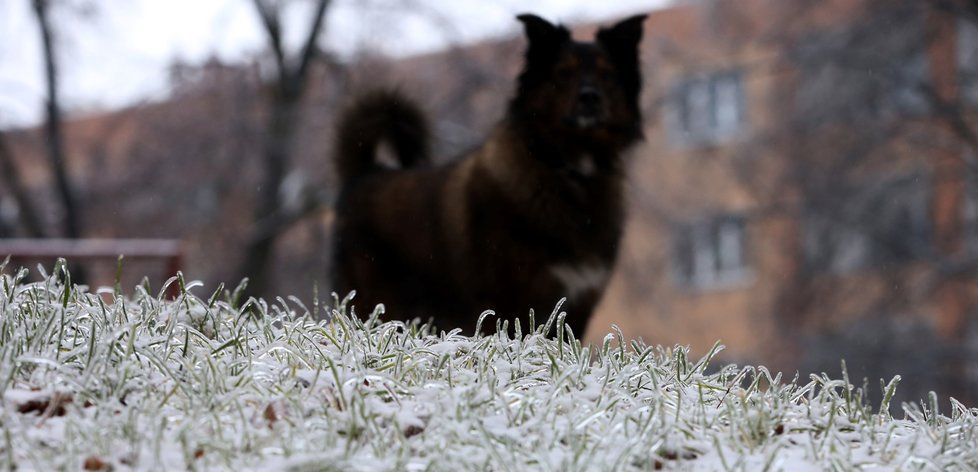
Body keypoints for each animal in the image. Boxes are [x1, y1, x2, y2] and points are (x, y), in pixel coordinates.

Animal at [332, 12, 644, 336]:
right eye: (563, 73)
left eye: (608, 75)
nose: (590, 97)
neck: (566, 171)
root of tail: (365, 173)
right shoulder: (505, 301)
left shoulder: (577, 305)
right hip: (376, 299)